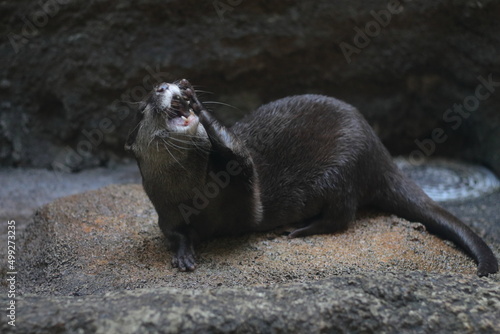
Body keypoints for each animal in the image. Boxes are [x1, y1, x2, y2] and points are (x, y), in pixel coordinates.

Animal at [125, 79, 496, 276]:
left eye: (168, 86)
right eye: (143, 108)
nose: (166, 85)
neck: (194, 192)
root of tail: (379, 151)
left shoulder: (241, 184)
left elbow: (240, 158)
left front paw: (199, 104)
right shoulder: (165, 211)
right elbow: (174, 233)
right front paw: (184, 253)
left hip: (341, 168)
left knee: (343, 216)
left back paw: (300, 229)